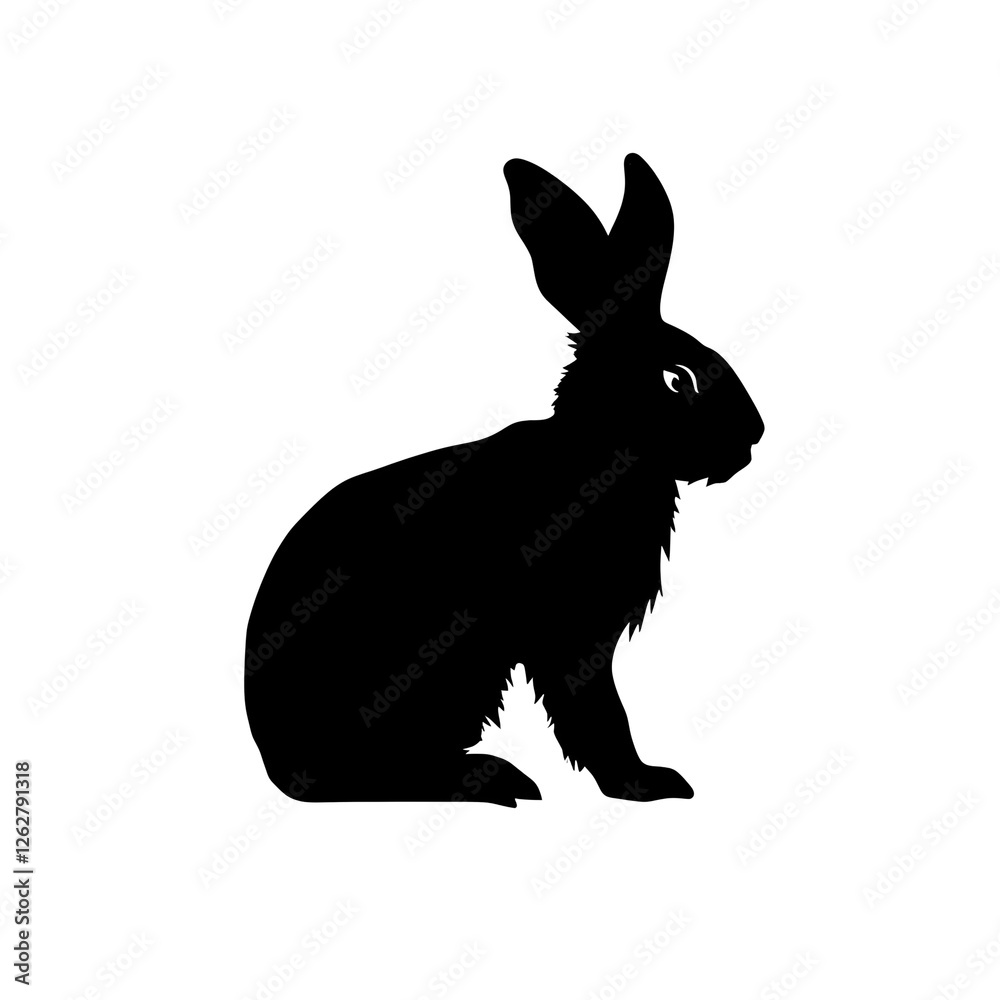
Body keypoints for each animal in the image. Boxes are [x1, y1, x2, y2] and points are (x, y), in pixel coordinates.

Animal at [244, 153, 764, 806]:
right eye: (677, 379)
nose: (754, 436)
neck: (603, 448)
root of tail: (275, 756)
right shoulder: (569, 632)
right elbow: (594, 710)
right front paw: (643, 783)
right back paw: (490, 779)